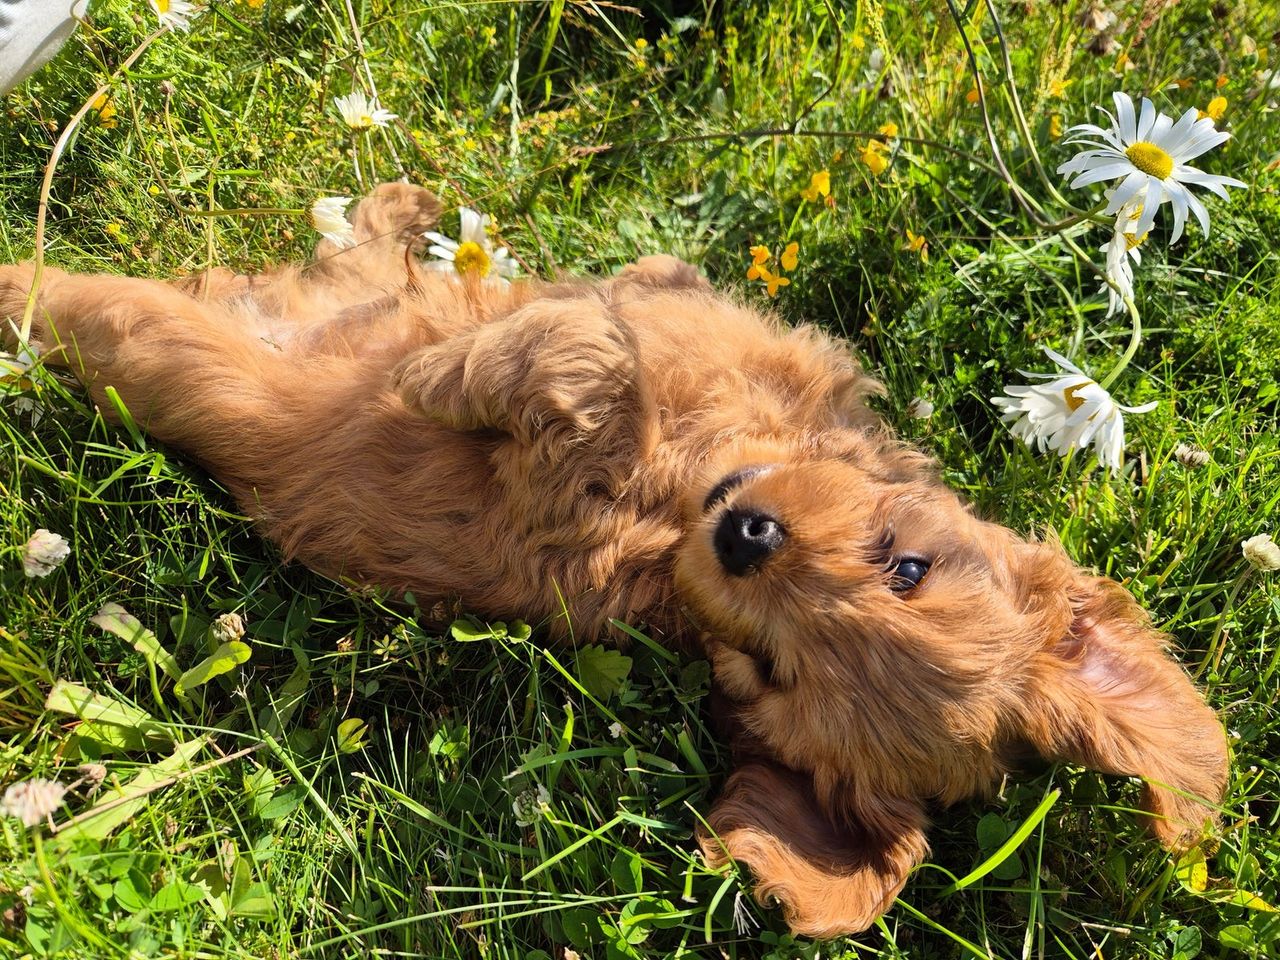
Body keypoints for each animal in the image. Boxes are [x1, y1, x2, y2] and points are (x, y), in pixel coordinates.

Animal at [5, 181, 1233, 942]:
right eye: (908, 566)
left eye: (765, 669)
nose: (747, 537)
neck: (687, 484)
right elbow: (630, 312)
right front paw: (574, 302)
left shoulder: (550, 503)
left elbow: (579, 370)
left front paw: (451, 370)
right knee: (346, 251)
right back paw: (404, 218)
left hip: (139, 334)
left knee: (57, 289)